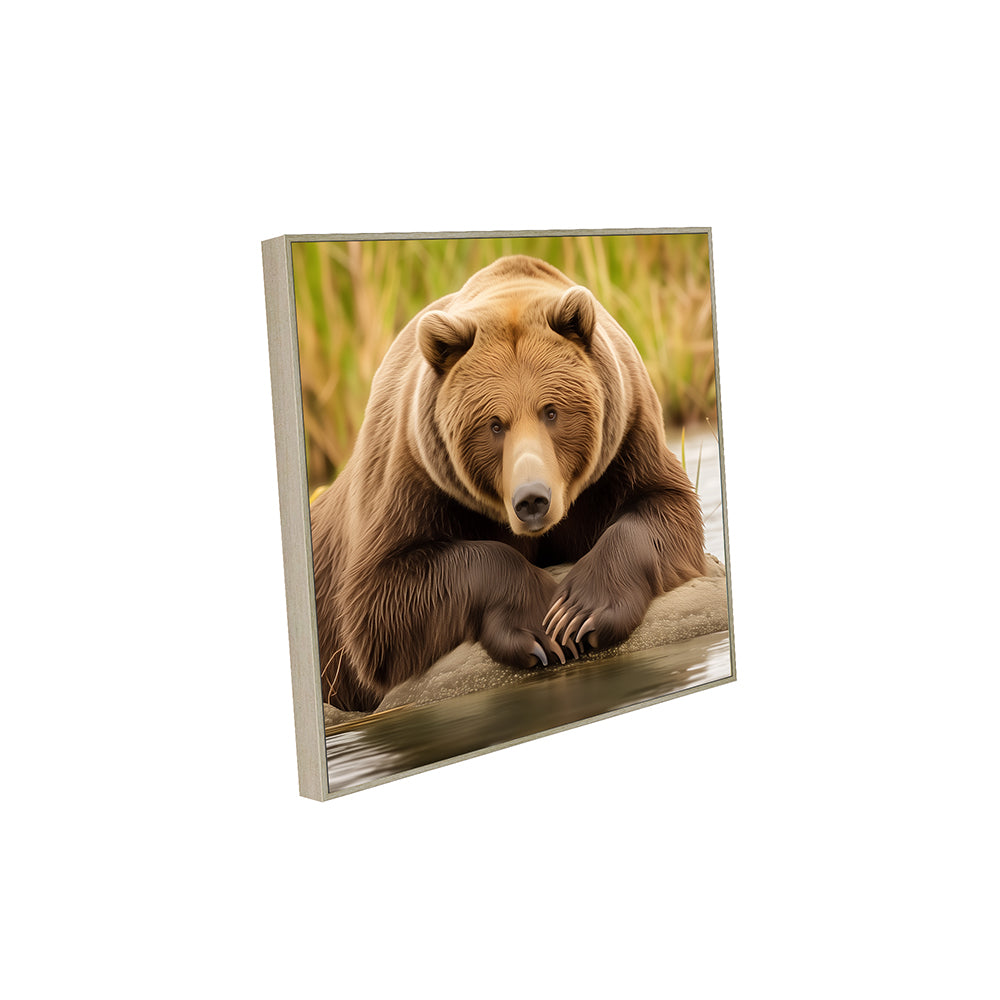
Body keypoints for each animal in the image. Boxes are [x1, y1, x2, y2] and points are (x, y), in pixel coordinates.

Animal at [309, 255, 706, 712]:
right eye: (495, 424)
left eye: (551, 411)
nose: (532, 499)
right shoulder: (413, 475)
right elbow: (381, 600)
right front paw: (540, 624)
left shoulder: (626, 437)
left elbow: (664, 509)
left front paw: (580, 611)